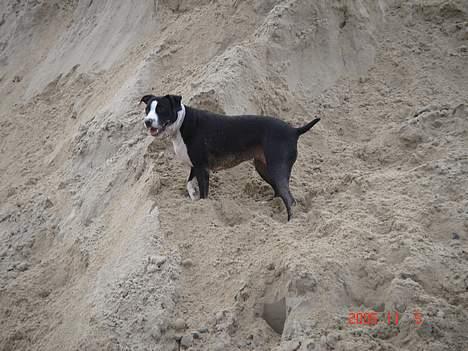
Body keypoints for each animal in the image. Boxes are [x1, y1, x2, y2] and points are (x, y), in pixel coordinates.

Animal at [141, 95, 320, 221]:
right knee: (278, 192)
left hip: (277, 168)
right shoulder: (195, 166)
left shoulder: (202, 168)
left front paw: (204, 208)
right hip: (263, 167)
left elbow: (204, 193)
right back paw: (268, 206)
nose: (147, 121)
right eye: (147, 109)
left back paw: (291, 222)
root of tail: (294, 131)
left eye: (161, 109)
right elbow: (189, 184)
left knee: (289, 199)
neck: (182, 123)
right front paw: (194, 198)